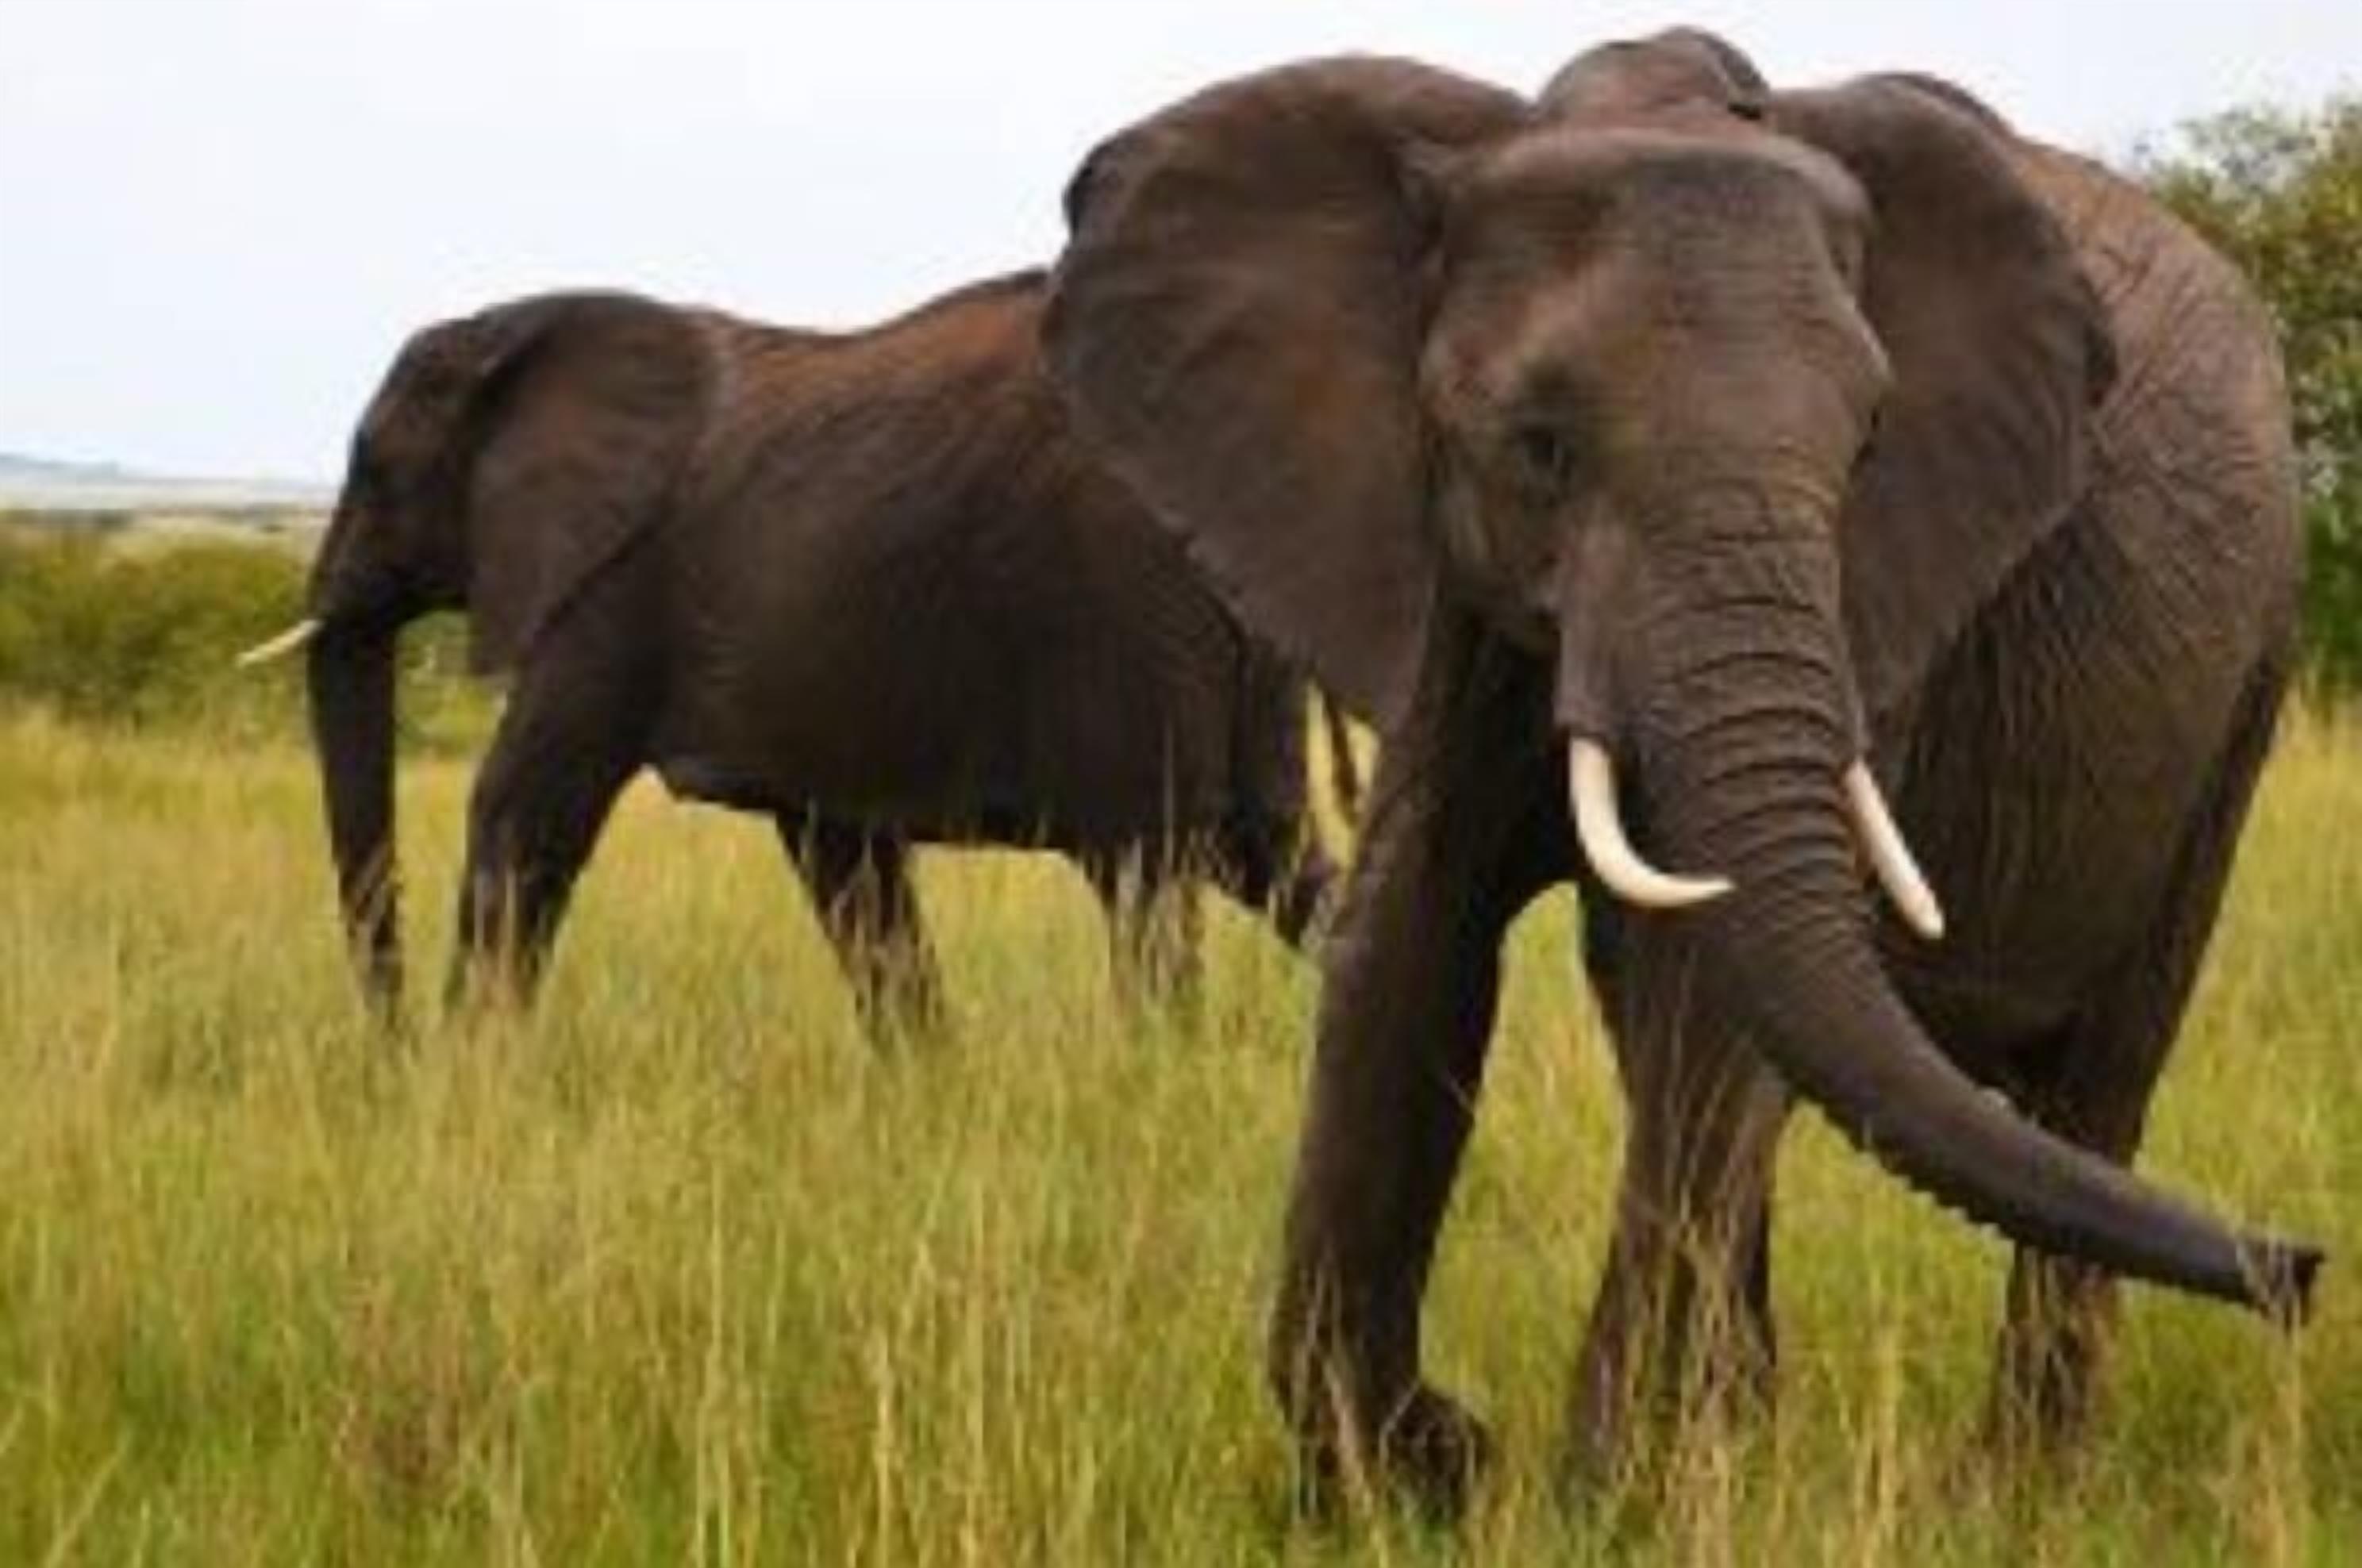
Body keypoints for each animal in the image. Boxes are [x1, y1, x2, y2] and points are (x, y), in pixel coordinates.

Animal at [245, 273, 1352, 1032]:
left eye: (375, 469)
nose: (386, 1041)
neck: (517, 330)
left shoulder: (612, 583)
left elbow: (523, 808)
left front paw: (461, 1076)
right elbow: (850, 870)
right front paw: (927, 1089)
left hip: (1121, 614)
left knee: (1146, 879)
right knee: (1278, 858)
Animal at [1042, 29, 2320, 1506]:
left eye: (1867, 445)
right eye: (1538, 445)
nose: (2303, 1266)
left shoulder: (1887, 606)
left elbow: (1705, 995)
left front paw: (1597, 1499)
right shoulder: (1449, 586)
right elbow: (1408, 942)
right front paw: (1426, 1475)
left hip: (2247, 676)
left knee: (2100, 1083)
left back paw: (2015, 1491)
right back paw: (1756, 1430)